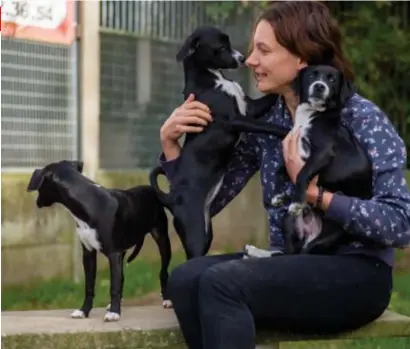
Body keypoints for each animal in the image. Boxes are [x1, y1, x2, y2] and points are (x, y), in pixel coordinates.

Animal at [26, 159, 171, 320]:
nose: (37, 202)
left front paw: (114, 312)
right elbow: (89, 286)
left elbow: (114, 285)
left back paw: (166, 299)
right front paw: (84, 310)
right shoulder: (89, 253)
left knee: (163, 271)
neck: (89, 201)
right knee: (122, 277)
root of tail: (151, 190)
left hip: (162, 240)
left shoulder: (114, 254)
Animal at [149, 25, 286, 258]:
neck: (214, 80)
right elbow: (269, 126)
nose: (242, 59)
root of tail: (171, 198)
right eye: (220, 47)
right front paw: (289, 130)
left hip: (206, 232)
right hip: (195, 233)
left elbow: (271, 97)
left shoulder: (251, 107)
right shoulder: (236, 120)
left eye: (229, 43)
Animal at [278, 64, 374, 253]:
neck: (311, 116)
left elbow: (302, 173)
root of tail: (310, 233)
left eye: (332, 79)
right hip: (288, 222)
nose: (319, 86)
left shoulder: (323, 152)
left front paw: (296, 200)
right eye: (311, 76)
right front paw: (281, 195)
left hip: (327, 237)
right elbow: (285, 169)